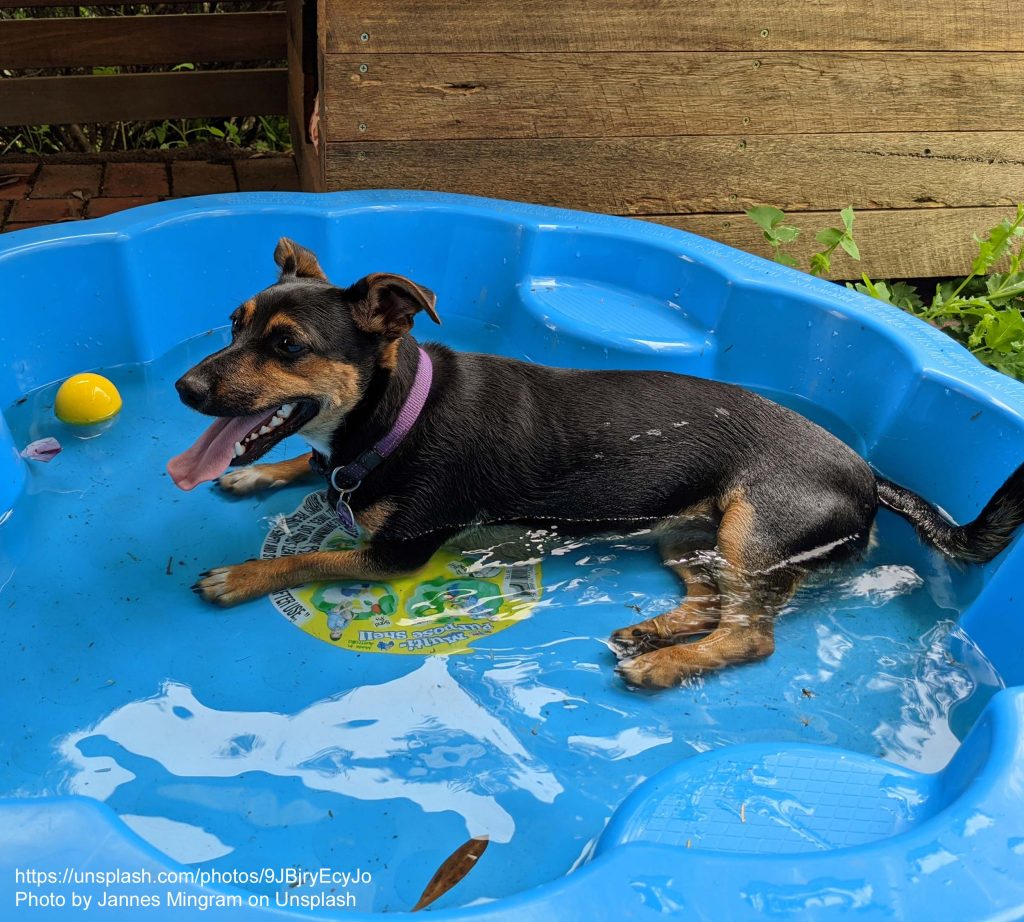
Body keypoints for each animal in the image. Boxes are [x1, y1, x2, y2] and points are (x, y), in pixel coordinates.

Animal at [169, 241, 1024, 688]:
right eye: (233, 325)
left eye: (287, 346)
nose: (184, 388)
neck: (397, 411)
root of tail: (870, 475)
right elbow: (312, 469)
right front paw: (256, 474)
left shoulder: (397, 556)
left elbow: (308, 557)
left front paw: (240, 575)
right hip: (688, 533)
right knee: (712, 597)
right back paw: (654, 631)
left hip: (755, 525)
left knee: (752, 634)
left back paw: (666, 665)